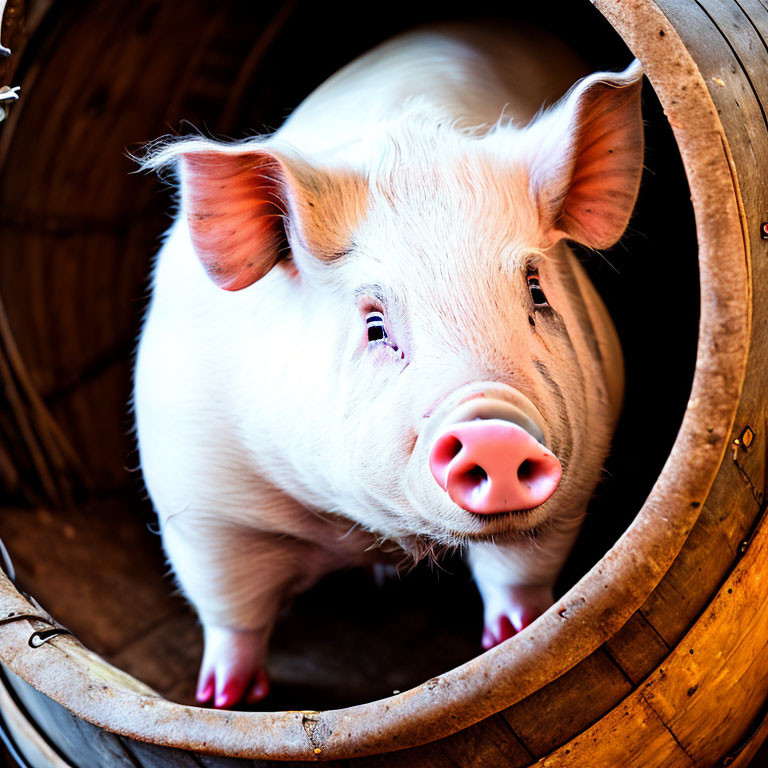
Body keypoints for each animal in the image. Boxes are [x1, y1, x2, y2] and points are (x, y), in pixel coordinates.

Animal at [134, 24, 640, 708]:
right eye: (375, 324)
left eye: (536, 290)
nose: (495, 430)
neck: (375, 538)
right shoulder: (202, 500)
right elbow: (229, 608)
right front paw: (224, 699)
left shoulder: (576, 475)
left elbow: (521, 572)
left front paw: (513, 640)